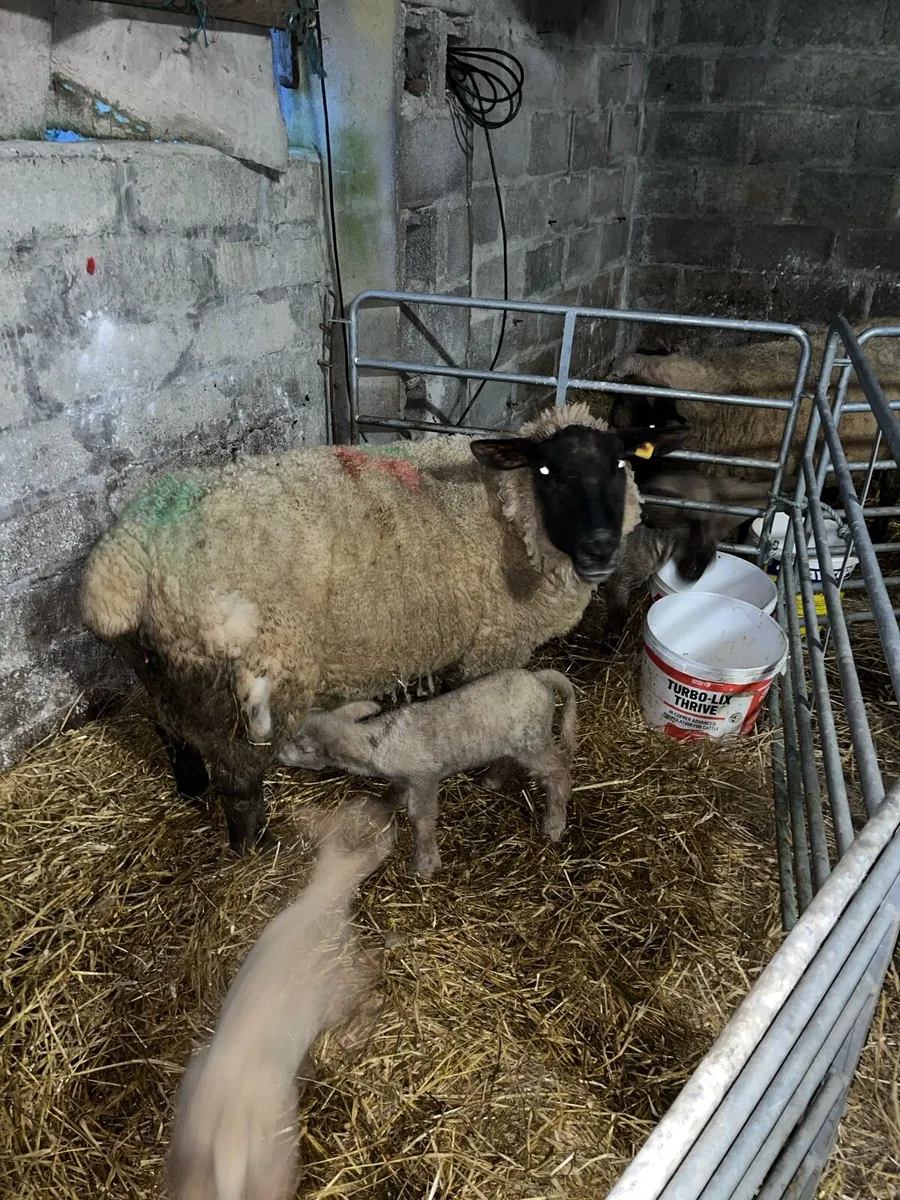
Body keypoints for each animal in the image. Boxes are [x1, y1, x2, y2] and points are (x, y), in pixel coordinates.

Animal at [81, 403, 668, 854]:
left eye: (620, 464)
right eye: (547, 472)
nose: (601, 549)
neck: (505, 514)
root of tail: (125, 562)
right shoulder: (495, 645)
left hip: (164, 674)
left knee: (170, 731)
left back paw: (189, 786)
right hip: (237, 689)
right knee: (239, 780)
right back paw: (253, 846)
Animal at [167, 794, 395, 1200]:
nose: (387, 809)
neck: (323, 896)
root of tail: (227, 1142)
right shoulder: (341, 980)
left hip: (191, 1158)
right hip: (276, 1157)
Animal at [278, 667, 578, 879]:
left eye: (302, 748)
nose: (278, 754)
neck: (379, 744)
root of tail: (538, 678)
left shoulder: (424, 777)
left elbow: (419, 817)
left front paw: (425, 862)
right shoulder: (403, 777)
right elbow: (395, 793)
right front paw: (383, 803)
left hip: (533, 740)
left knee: (558, 771)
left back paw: (554, 823)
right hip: (514, 740)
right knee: (510, 759)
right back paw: (492, 780)